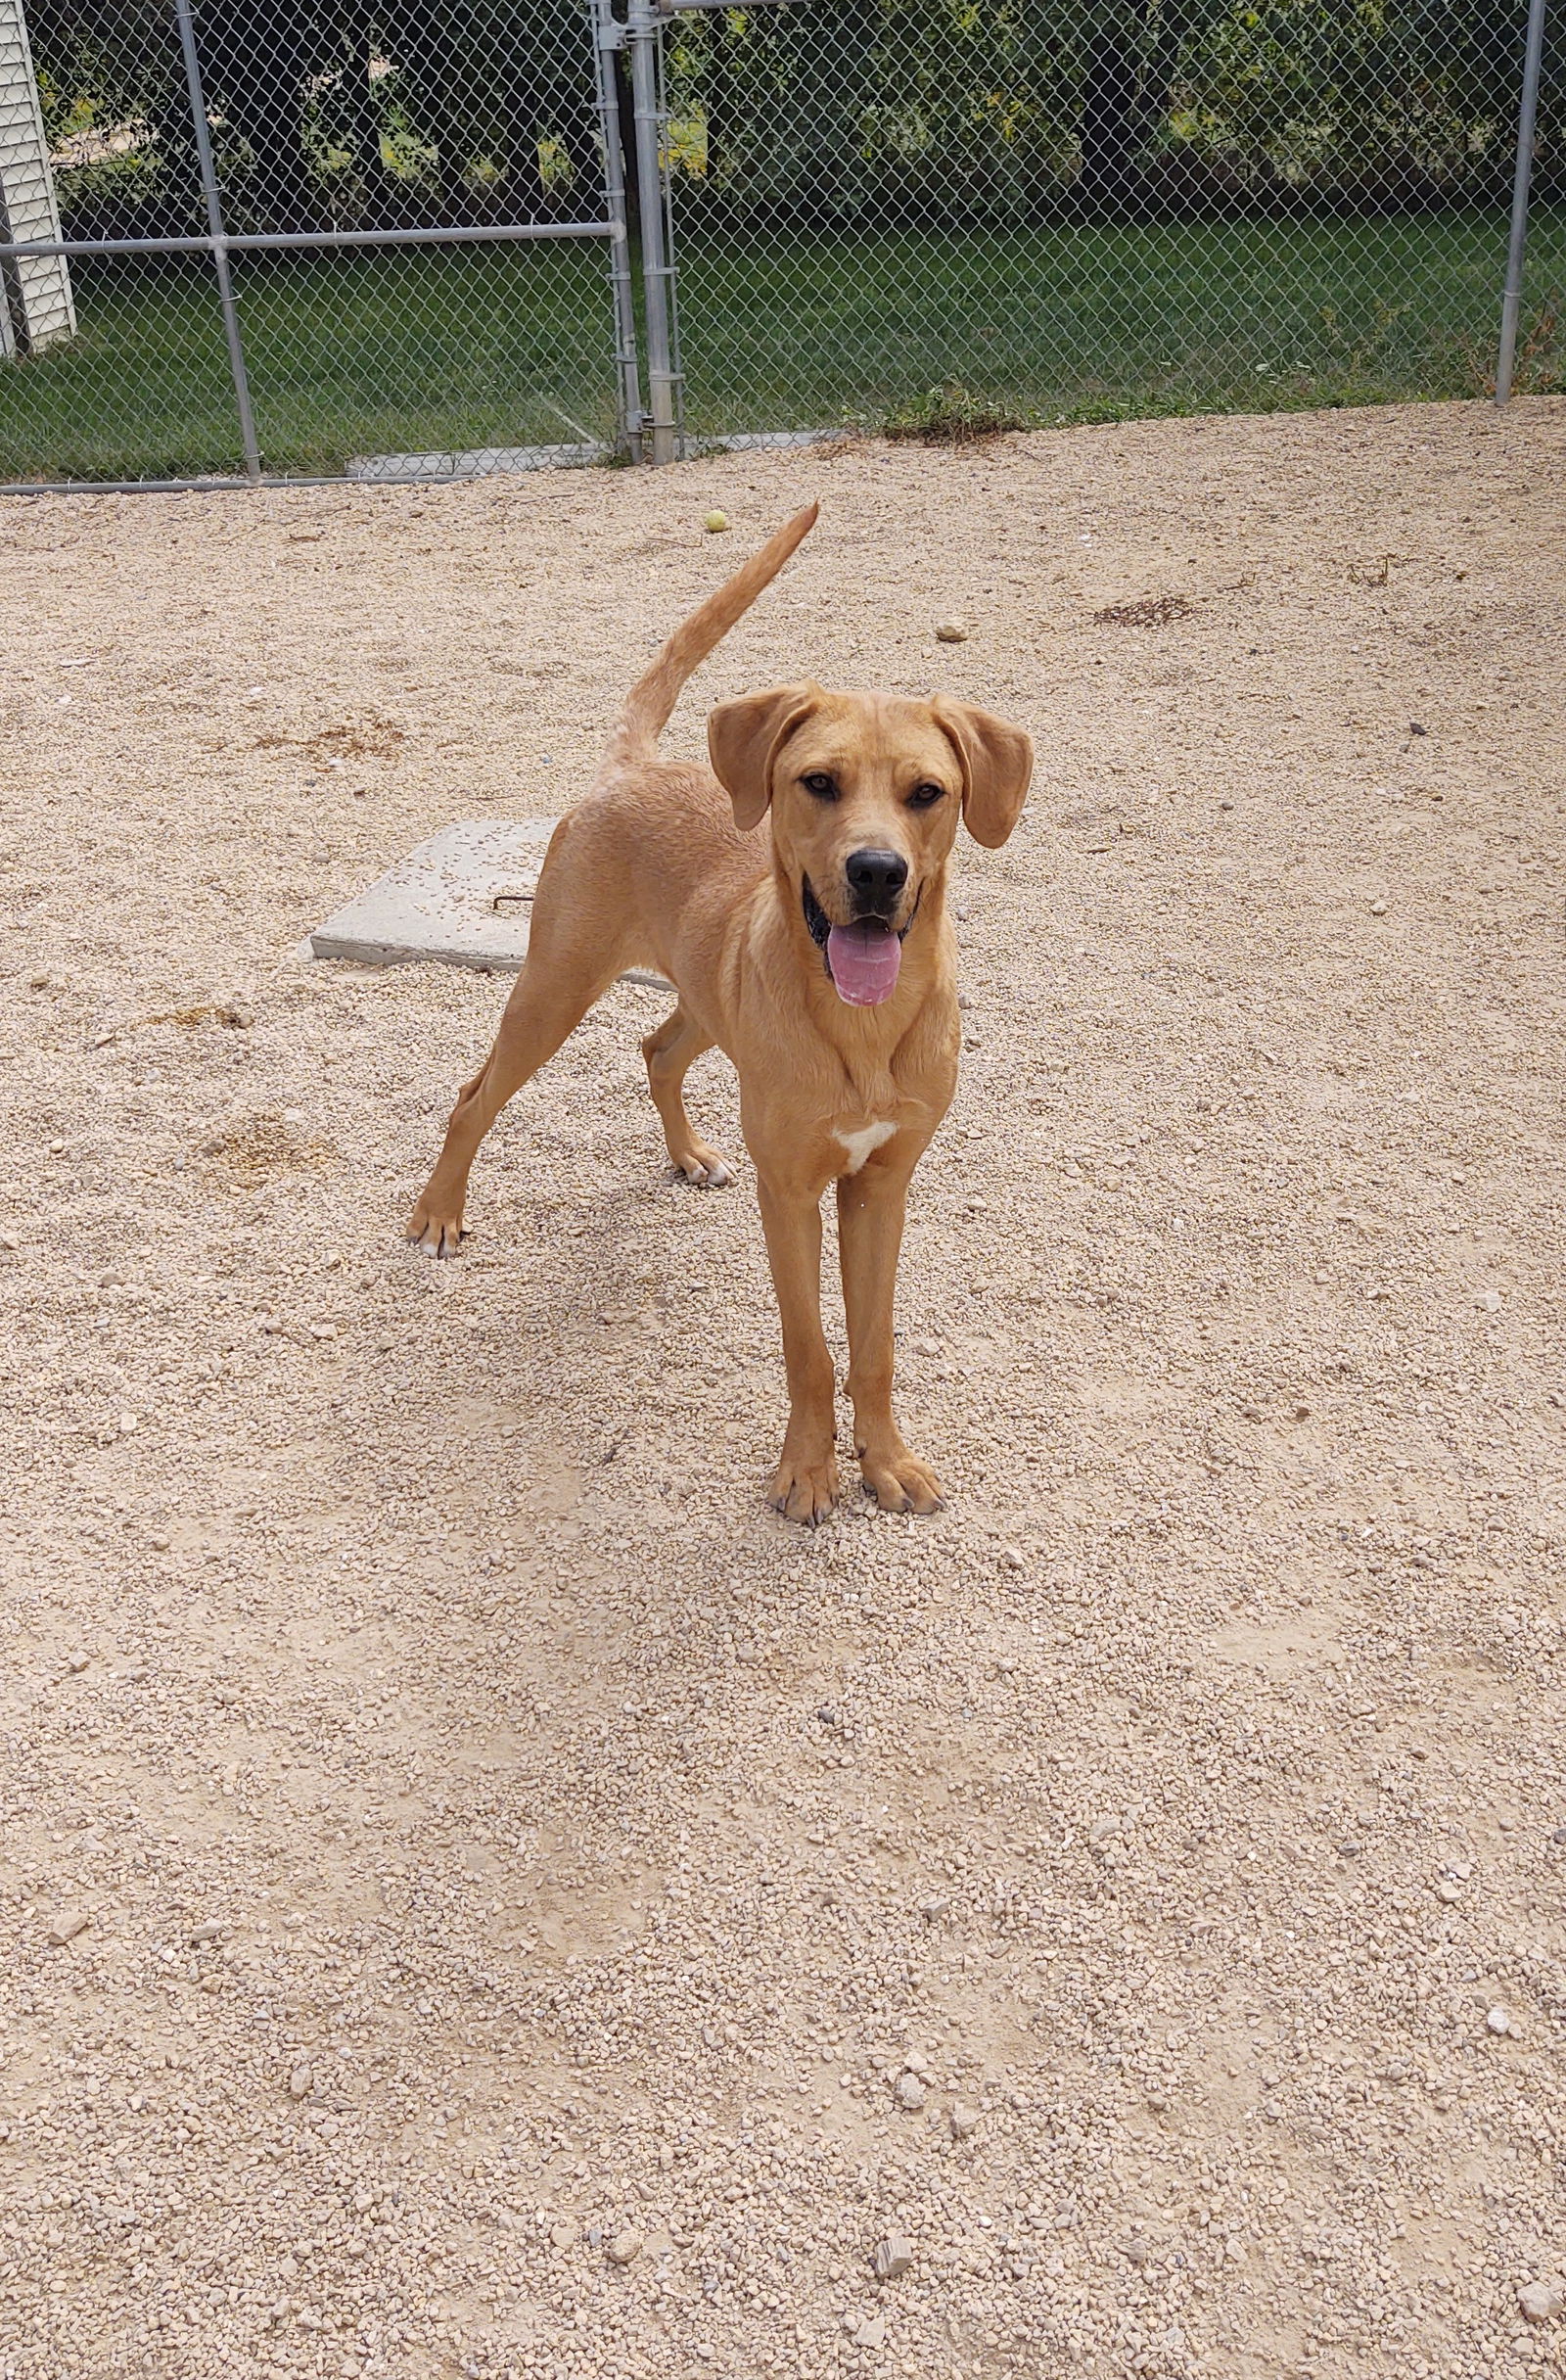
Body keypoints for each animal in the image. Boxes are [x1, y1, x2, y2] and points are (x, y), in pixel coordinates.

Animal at [409, 511, 1033, 1532]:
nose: (876, 873)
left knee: (656, 1048)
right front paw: (808, 1474)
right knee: (473, 1096)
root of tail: (630, 766)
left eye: (927, 793)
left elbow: (875, 1346)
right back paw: (437, 1214)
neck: (862, 1031)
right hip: (552, 988)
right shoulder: (790, 1193)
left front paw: (887, 1460)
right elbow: (811, 1350)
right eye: (817, 782)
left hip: (705, 999)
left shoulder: (882, 1186)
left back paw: (689, 1152)